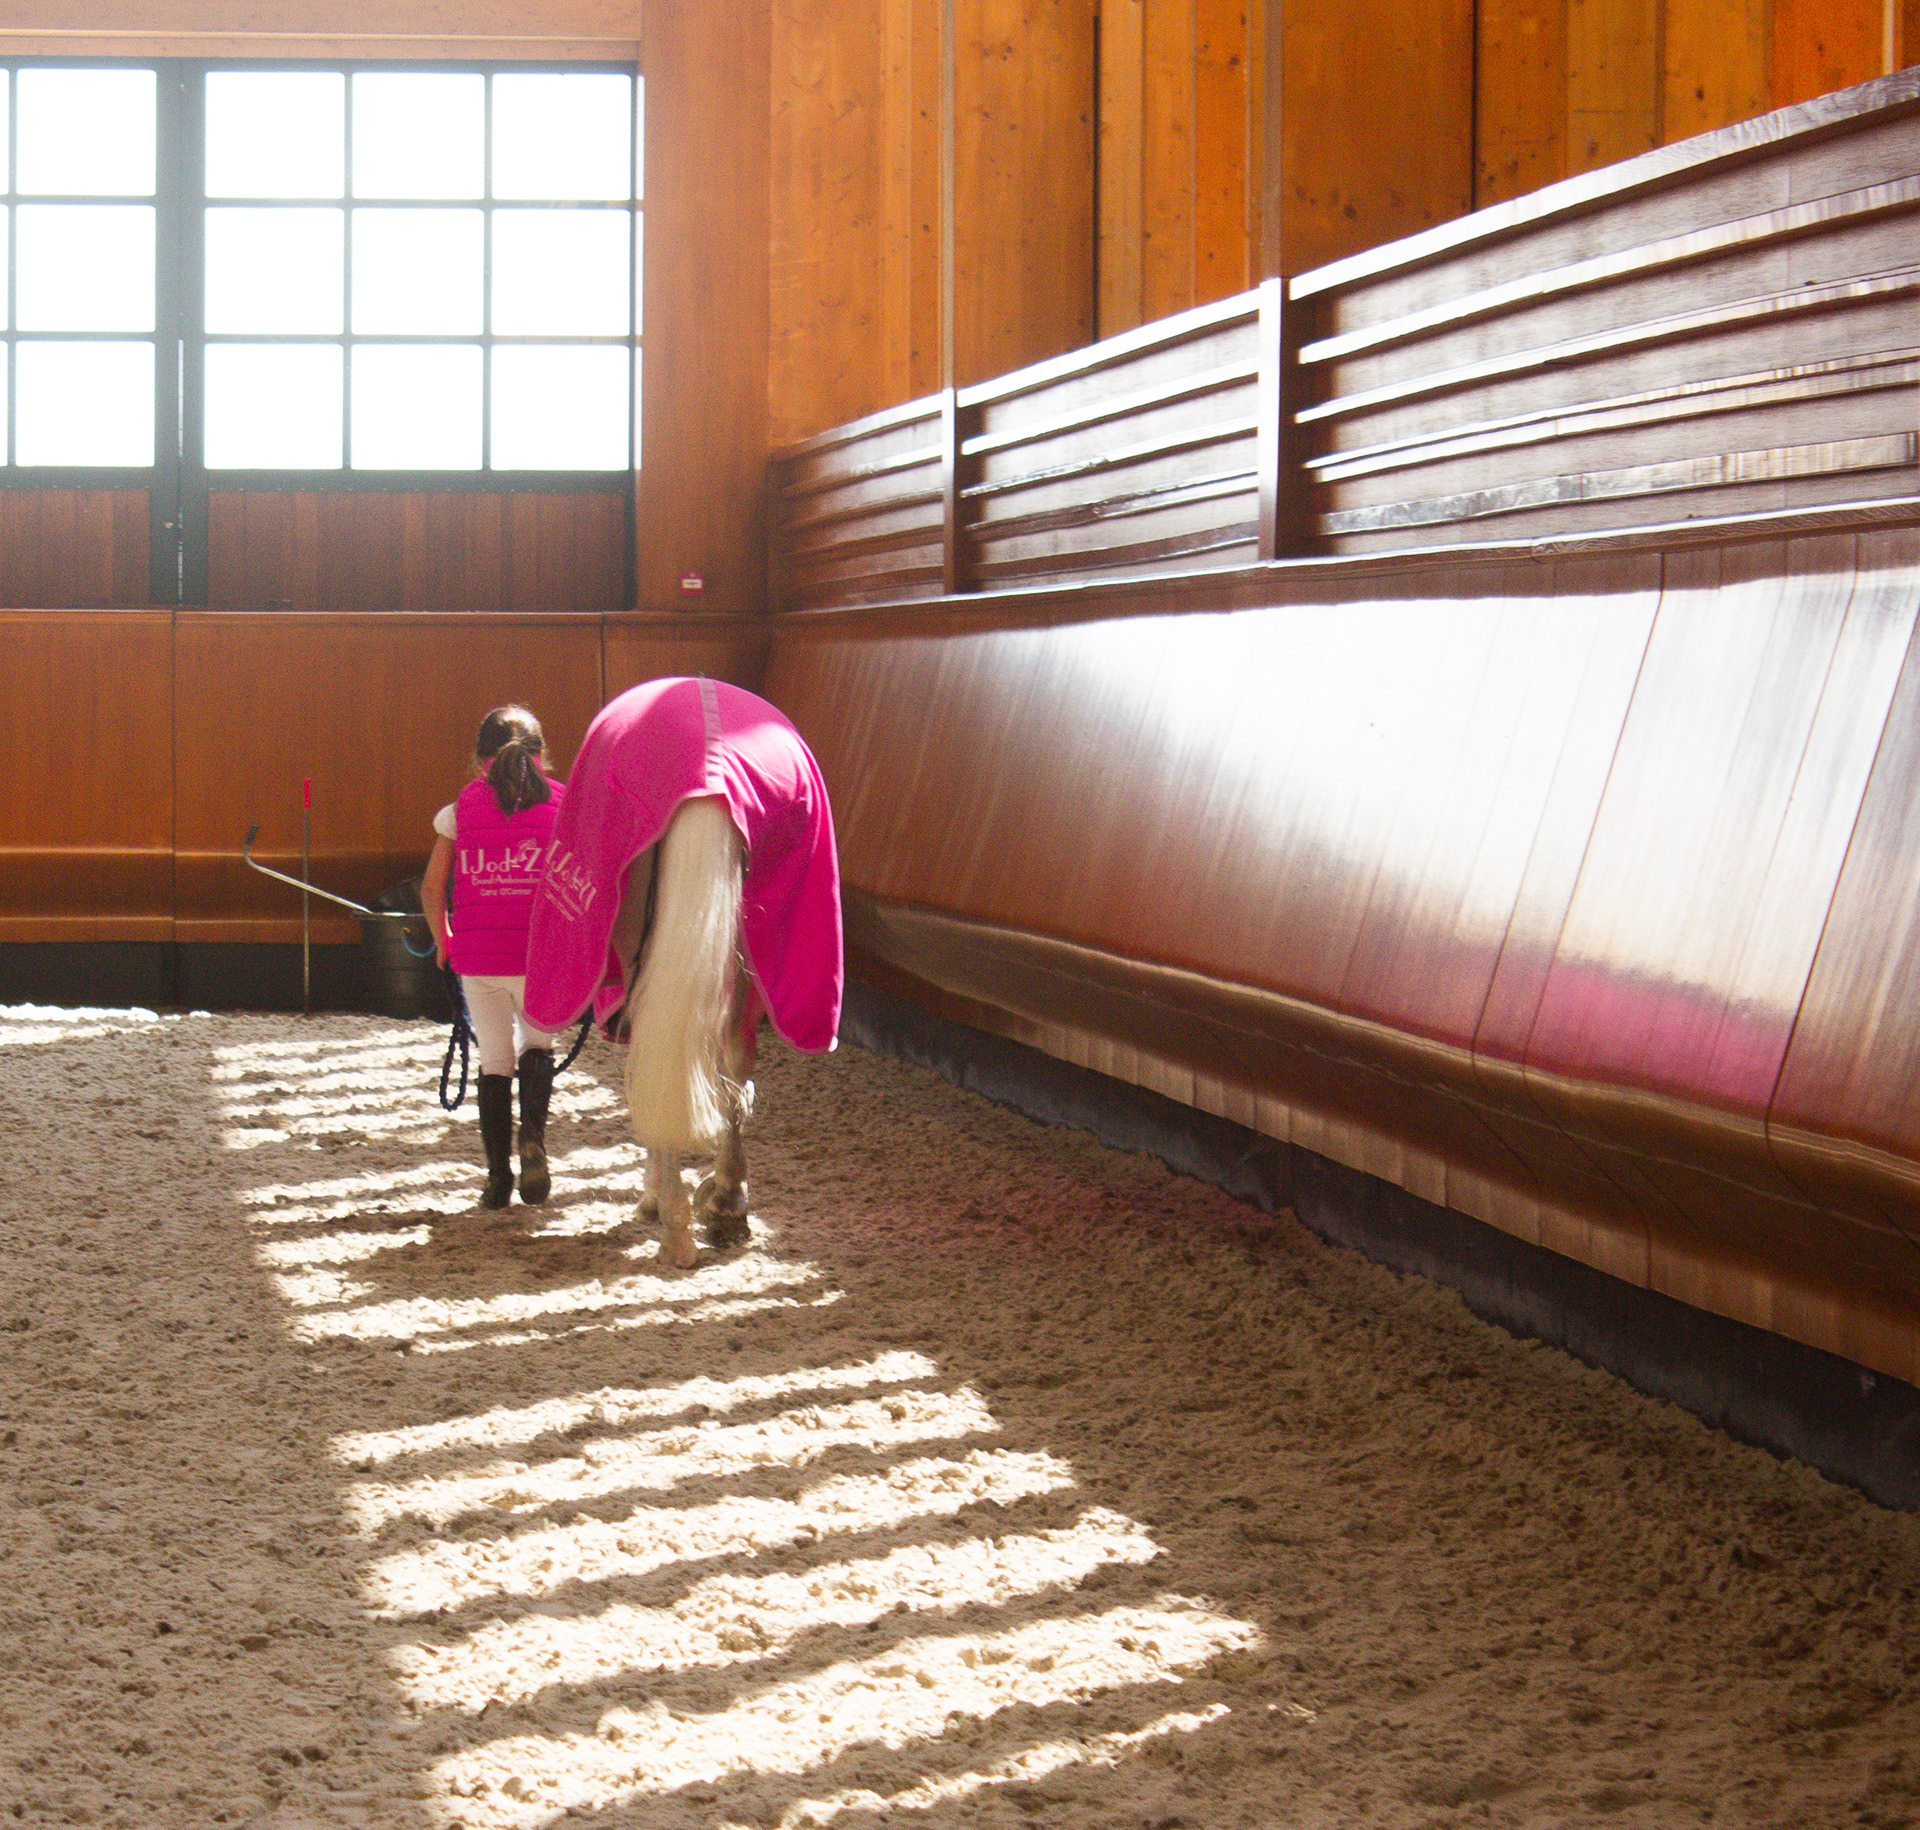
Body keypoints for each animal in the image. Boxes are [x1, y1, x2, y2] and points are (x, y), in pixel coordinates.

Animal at [523, 677, 843, 1269]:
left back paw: (673, 1221)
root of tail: (710, 777)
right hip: (755, 952)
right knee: (734, 1065)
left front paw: (654, 1198)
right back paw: (728, 1204)